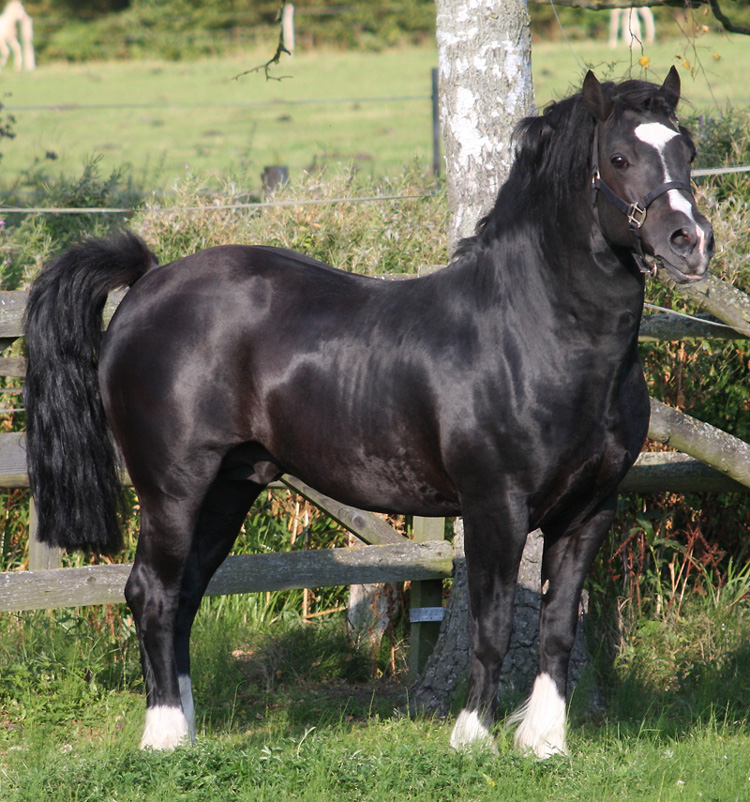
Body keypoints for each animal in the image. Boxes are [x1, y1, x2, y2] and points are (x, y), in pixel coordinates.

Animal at [24, 67, 713, 758]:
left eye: (687, 150)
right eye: (618, 158)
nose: (691, 242)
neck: (535, 330)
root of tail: (147, 282)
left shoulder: (590, 512)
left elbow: (558, 629)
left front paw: (545, 742)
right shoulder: (495, 506)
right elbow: (490, 625)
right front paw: (473, 737)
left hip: (229, 486)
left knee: (185, 594)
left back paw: (187, 730)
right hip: (172, 489)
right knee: (153, 592)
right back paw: (164, 735)